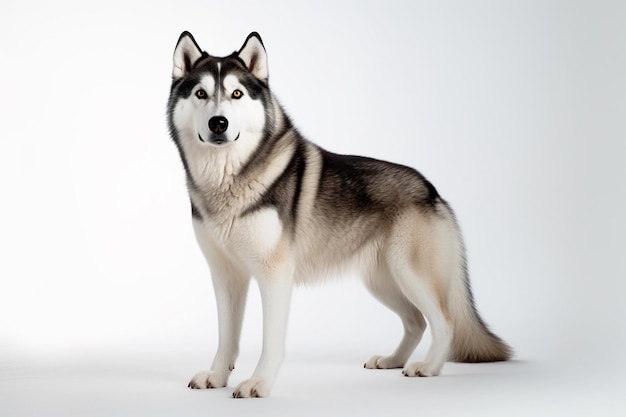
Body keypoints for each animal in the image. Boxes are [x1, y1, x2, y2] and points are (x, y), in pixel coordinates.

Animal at [167, 31, 512, 396]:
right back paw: (392, 360)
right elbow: (226, 337)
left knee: (444, 322)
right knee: (415, 321)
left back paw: (428, 367)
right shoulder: (225, 275)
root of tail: (431, 189)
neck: (227, 181)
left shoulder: (274, 275)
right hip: (383, 281)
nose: (218, 123)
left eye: (236, 93)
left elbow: (270, 340)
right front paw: (217, 376)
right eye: (201, 93)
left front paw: (259, 382)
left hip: (411, 273)